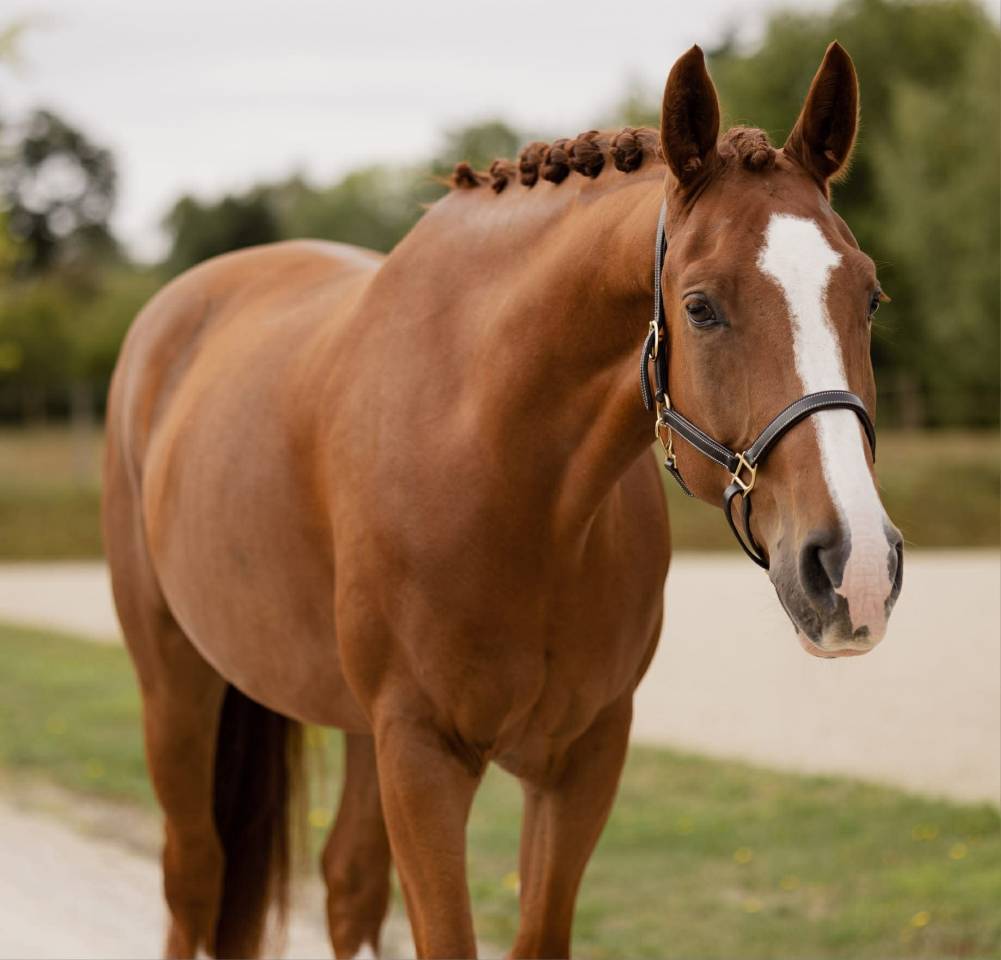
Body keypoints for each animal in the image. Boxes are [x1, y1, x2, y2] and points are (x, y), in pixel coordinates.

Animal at [102, 42, 903, 959]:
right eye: (700, 307)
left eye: (869, 296)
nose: (854, 568)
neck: (509, 483)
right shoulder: (421, 756)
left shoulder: (581, 758)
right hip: (176, 680)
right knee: (194, 873)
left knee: (346, 880)